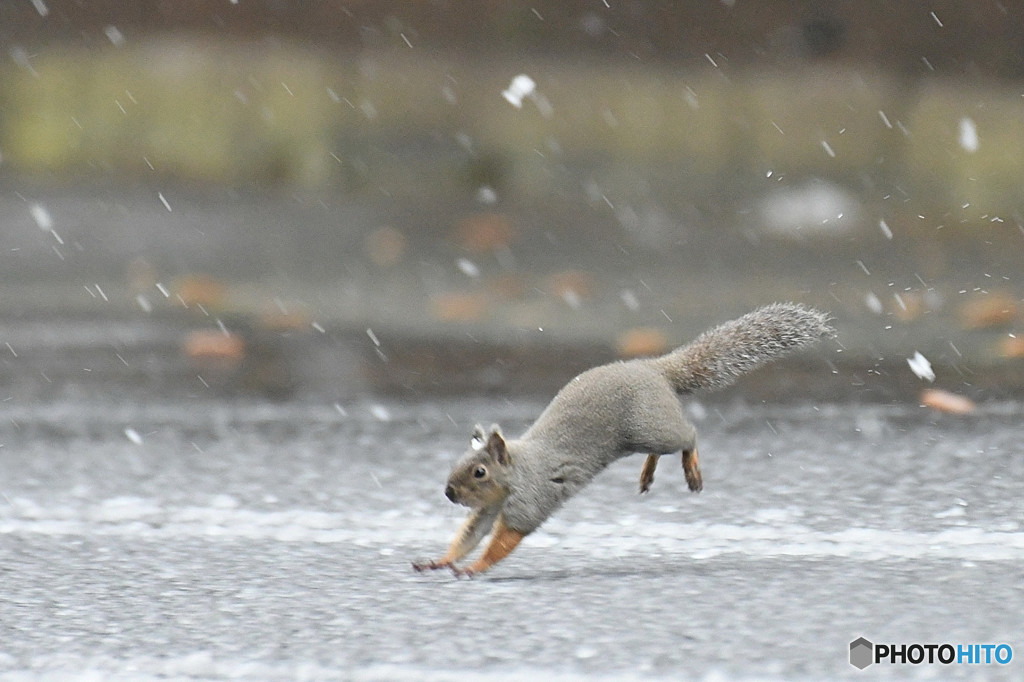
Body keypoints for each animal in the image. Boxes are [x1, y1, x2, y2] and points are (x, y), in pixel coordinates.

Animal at [411, 303, 835, 573]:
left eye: (479, 472)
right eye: (458, 464)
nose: (449, 493)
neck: (518, 470)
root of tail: (653, 369)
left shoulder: (533, 496)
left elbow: (506, 537)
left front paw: (475, 568)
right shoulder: (488, 508)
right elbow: (471, 533)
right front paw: (442, 560)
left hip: (653, 427)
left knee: (688, 435)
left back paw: (691, 468)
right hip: (644, 435)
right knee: (661, 450)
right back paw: (648, 473)